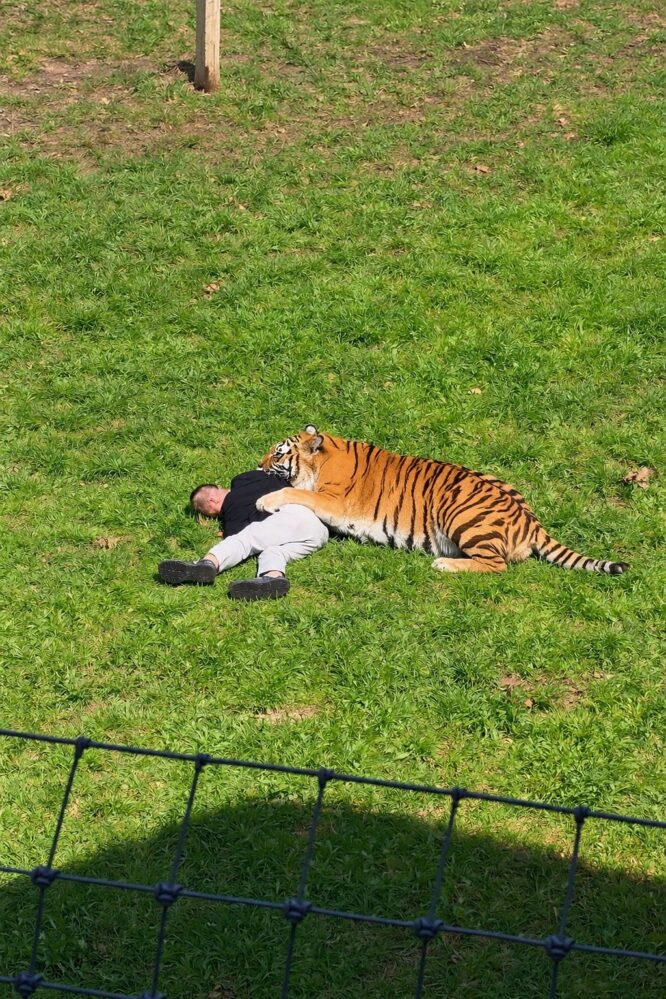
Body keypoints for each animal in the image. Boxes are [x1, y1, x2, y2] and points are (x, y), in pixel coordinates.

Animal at [255, 426, 629, 575]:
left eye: (278, 452)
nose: (257, 464)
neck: (327, 455)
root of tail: (530, 520)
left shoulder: (334, 501)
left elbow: (294, 492)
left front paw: (264, 500)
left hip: (462, 515)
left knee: (497, 565)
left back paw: (444, 564)